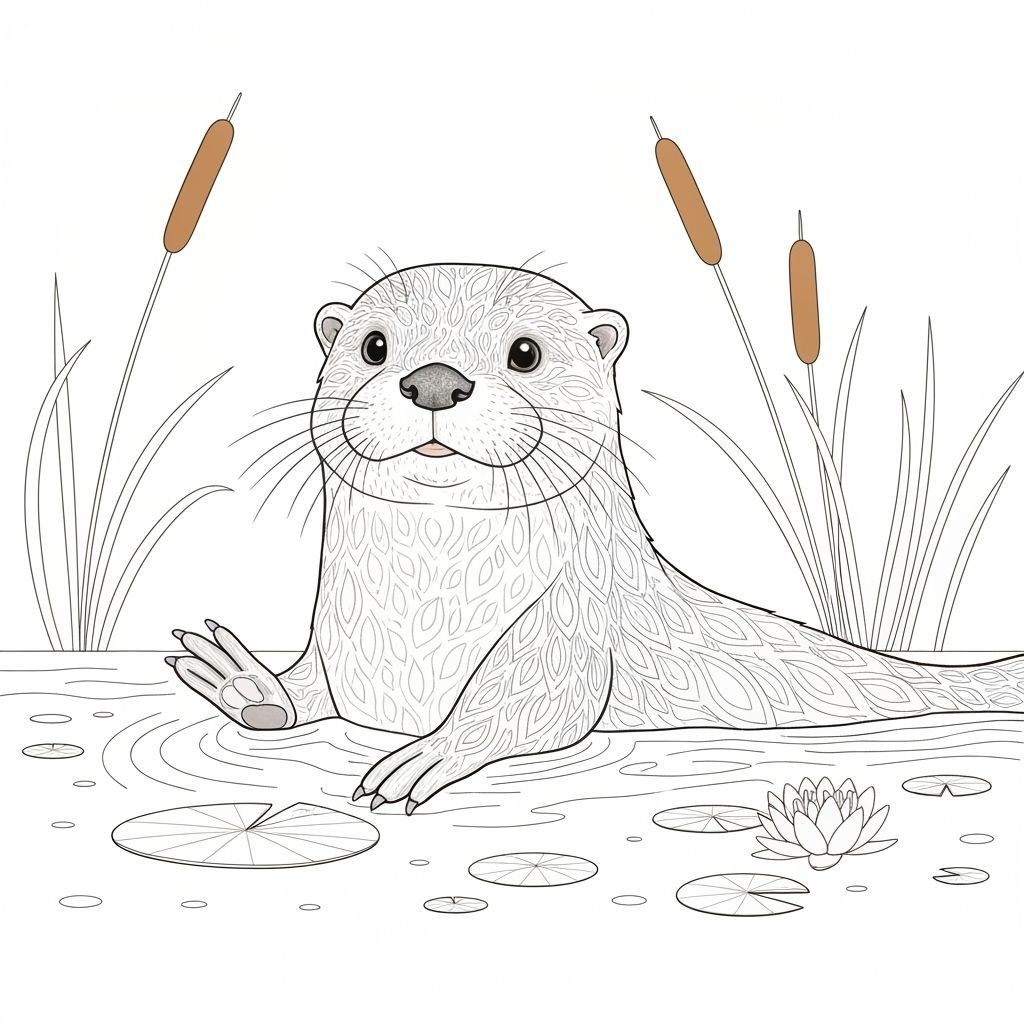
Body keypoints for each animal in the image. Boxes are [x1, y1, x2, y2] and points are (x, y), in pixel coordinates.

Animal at [167, 262, 1024, 812]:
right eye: (374, 345)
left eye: (525, 352)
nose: (436, 379)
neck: (423, 623)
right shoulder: (335, 645)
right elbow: (305, 688)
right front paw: (247, 683)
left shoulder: (572, 622)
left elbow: (536, 702)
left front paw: (431, 753)